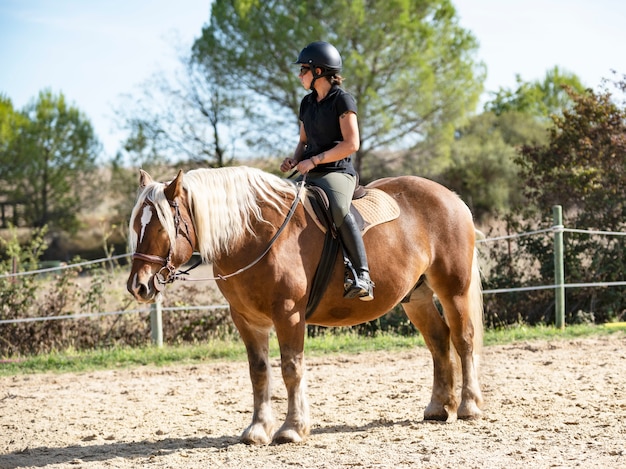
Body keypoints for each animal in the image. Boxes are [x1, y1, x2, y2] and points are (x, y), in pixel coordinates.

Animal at [124, 166, 480, 444]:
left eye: (161, 226)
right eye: (136, 225)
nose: (138, 286)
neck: (255, 234)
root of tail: (449, 197)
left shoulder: (289, 315)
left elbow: (291, 369)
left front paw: (292, 429)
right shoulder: (246, 319)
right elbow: (259, 372)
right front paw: (257, 429)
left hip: (453, 291)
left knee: (463, 340)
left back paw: (468, 406)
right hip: (416, 298)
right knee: (438, 340)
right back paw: (438, 407)